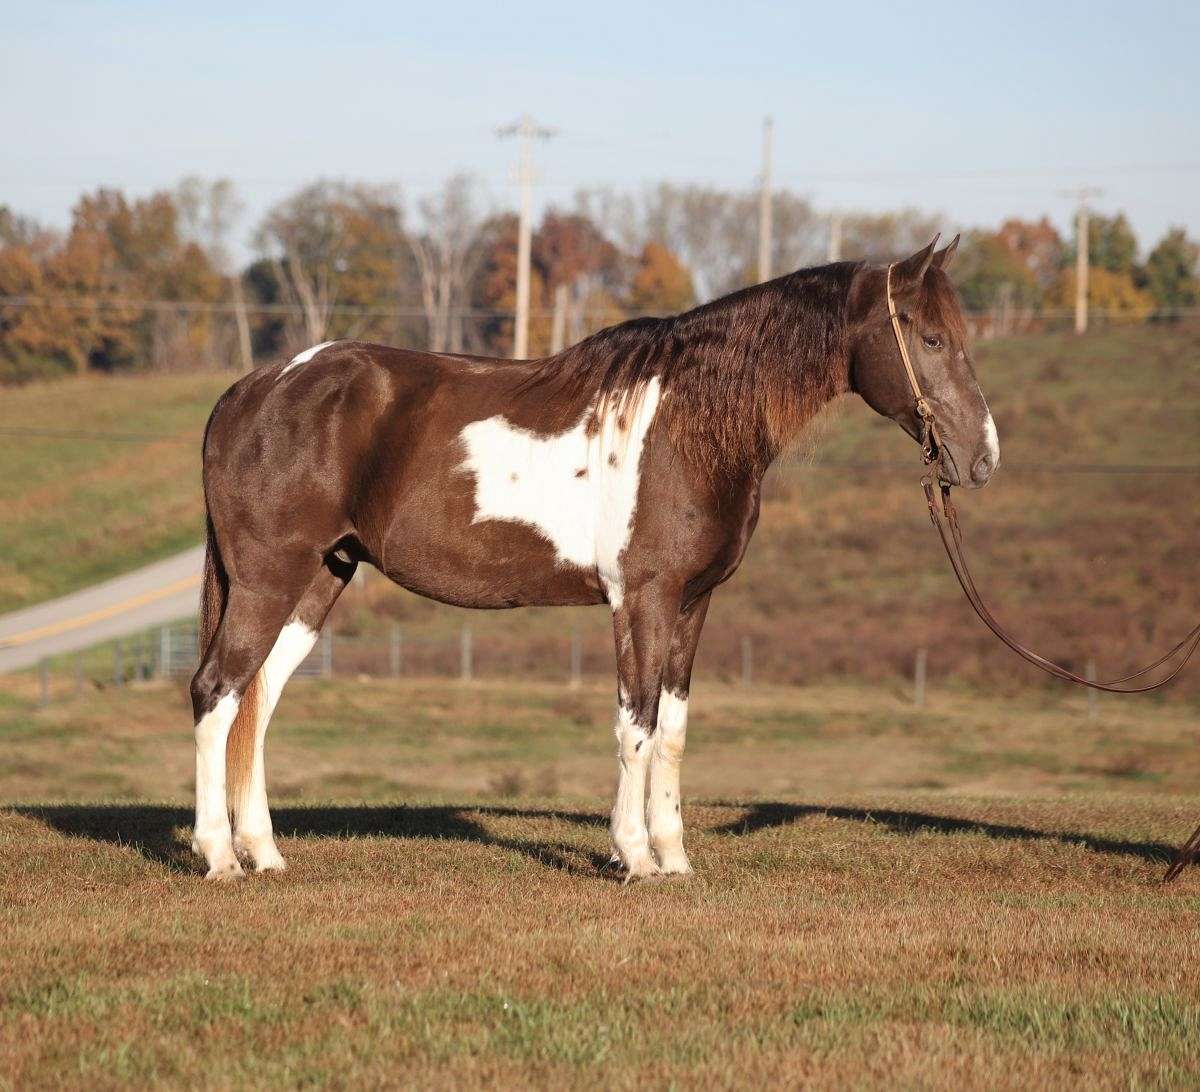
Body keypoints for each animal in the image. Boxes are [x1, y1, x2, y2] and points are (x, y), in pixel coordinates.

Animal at [190, 235, 999, 881]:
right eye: (930, 338)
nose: (984, 457)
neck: (688, 423)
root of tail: (252, 389)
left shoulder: (692, 603)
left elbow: (671, 731)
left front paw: (674, 858)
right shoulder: (642, 598)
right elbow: (634, 723)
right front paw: (634, 856)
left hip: (317, 581)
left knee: (256, 701)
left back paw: (265, 853)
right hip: (268, 579)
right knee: (215, 692)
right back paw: (221, 858)